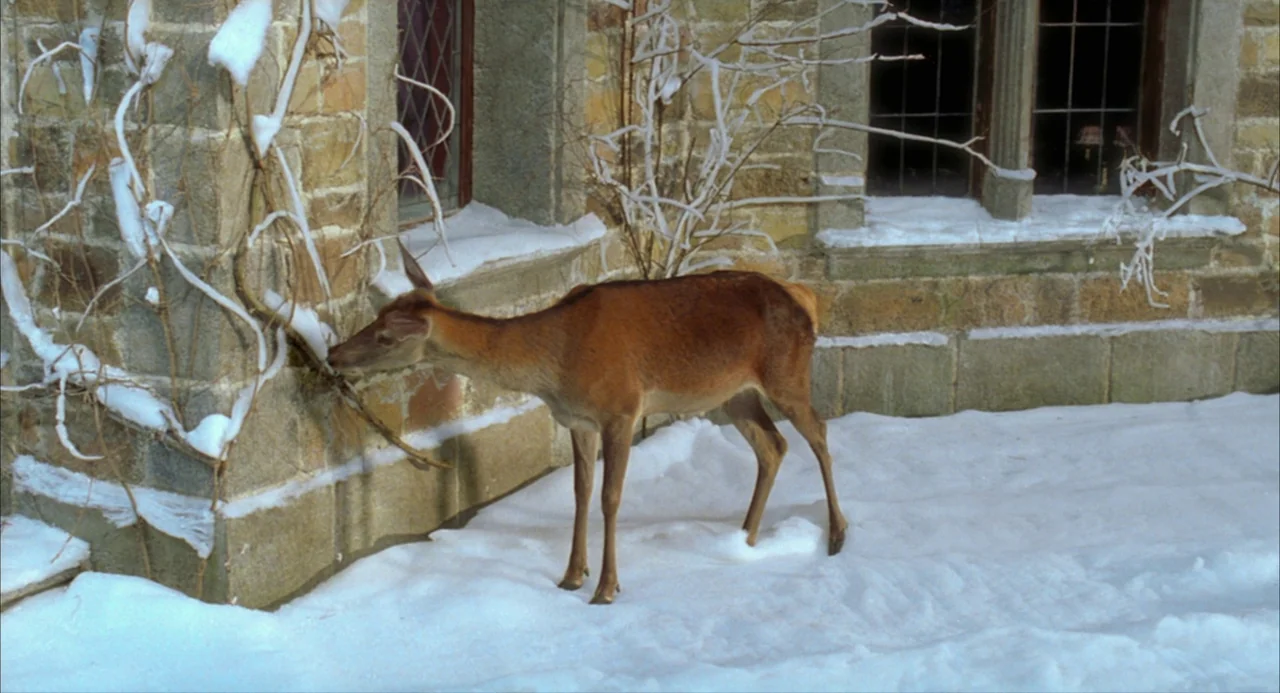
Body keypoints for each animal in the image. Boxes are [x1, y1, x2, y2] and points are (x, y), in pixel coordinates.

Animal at [326, 243, 849, 605]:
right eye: (376, 316)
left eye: (387, 336)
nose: (333, 352)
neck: (556, 364)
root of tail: (805, 297)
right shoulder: (577, 419)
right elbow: (579, 492)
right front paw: (571, 575)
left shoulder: (622, 408)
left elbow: (610, 498)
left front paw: (607, 588)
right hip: (735, 393)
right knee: (773, 445)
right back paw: (744, 538)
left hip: (787, 373)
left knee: (819, 434)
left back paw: (837, 534)